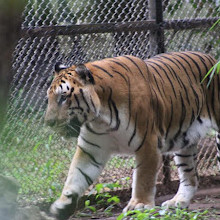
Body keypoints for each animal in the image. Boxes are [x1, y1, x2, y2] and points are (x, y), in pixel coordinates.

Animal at [44, 51, 220, 218]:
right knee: (191, 176)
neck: (101, 119)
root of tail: (212, 58)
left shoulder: (148, 143)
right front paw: (61, 205)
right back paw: (177, 202)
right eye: (49, 98)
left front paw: (139, 205)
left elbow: (143, 178)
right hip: (185, 143)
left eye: (63, 97)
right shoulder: (91, 149)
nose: (48, 122)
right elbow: (76, 176)